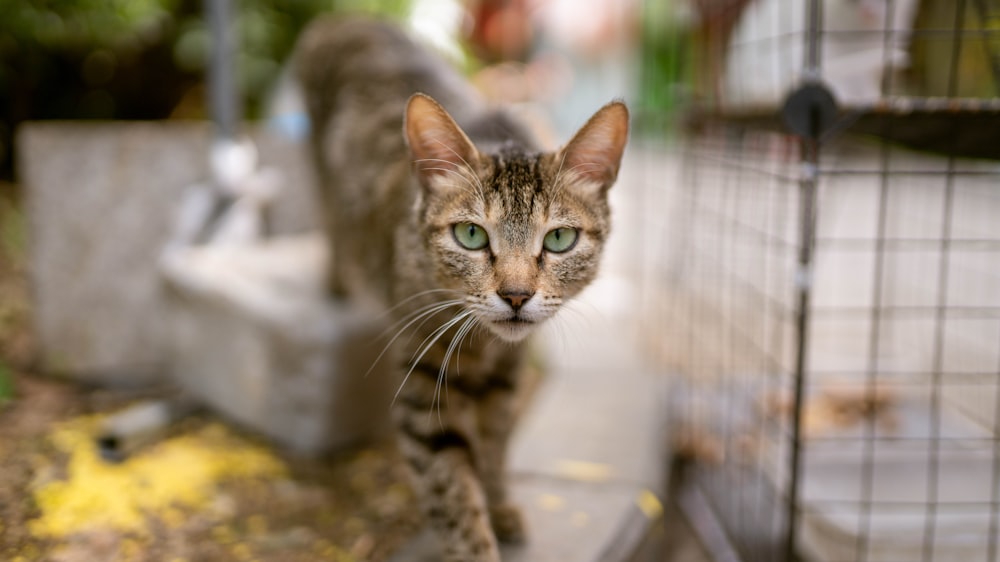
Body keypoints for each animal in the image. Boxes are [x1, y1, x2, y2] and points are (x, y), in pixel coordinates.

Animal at [292, 15, 628, 556]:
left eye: (559, 239)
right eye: (470, 234)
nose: (516, 295)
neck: (484, 347)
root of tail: (344, 19)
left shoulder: (507, 376)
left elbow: (494, 446)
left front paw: (500, 503)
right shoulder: (424, 384)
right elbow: (452, 493)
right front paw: (477, 536)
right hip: (323, 181)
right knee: (335, 230)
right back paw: (338, 284)